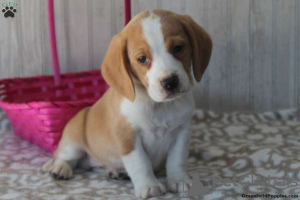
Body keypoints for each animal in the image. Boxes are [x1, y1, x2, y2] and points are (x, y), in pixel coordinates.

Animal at [42, 9, 212, 198]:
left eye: (178, 48)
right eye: (142, 59)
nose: (169, 82)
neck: (157, 105)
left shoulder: (182, 131)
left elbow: (177, 160)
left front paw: (180, 180)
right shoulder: (128, 137)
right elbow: (140, 163)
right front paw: (149, 186)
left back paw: (116, 172)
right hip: (73, 142)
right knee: (65, 158)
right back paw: (60, 168)